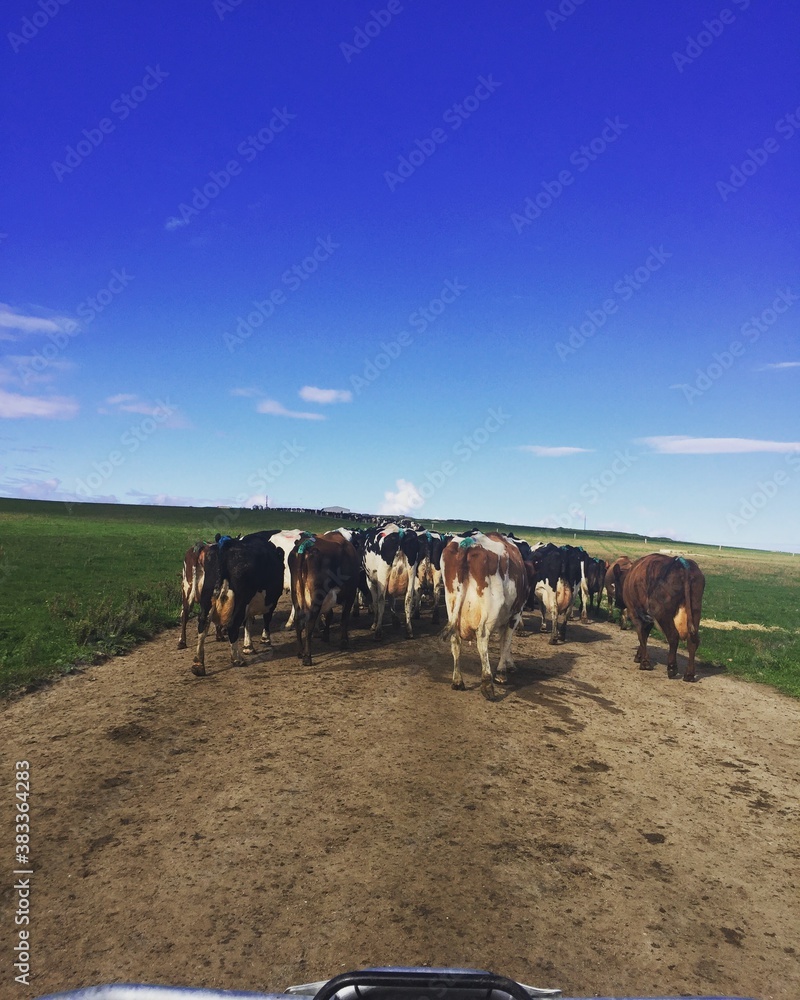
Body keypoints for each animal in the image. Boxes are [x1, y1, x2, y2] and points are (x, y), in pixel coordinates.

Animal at [192, 531, 284, 676]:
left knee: (202, 624)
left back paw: (198, 665)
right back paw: (237, 659)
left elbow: (248, 622)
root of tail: (225, 545)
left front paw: (248, 646)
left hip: (208, 595)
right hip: (241, 600)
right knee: (232, 625)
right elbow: (265, 619)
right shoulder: (271, 601)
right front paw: (264, 639)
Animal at [288, 532, 360, 666]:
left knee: (298, 621)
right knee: (309, 623)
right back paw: (307, 657)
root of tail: (305, 547)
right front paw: (344, 642)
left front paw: (326, 636)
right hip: (316, 597)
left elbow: (329, 615)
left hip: (296, 594)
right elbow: (344, 619)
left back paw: (300, 652)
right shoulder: (350, 593)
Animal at [441, 531, 528, 701]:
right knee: (482, 640)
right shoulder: (515, 613)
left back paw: (457, 681)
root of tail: (468, 545)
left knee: (455, 640)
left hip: (451, 605)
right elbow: (506, 641)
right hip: (490, 611)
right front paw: (502, 673)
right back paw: (487, 684)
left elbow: (503, 641)